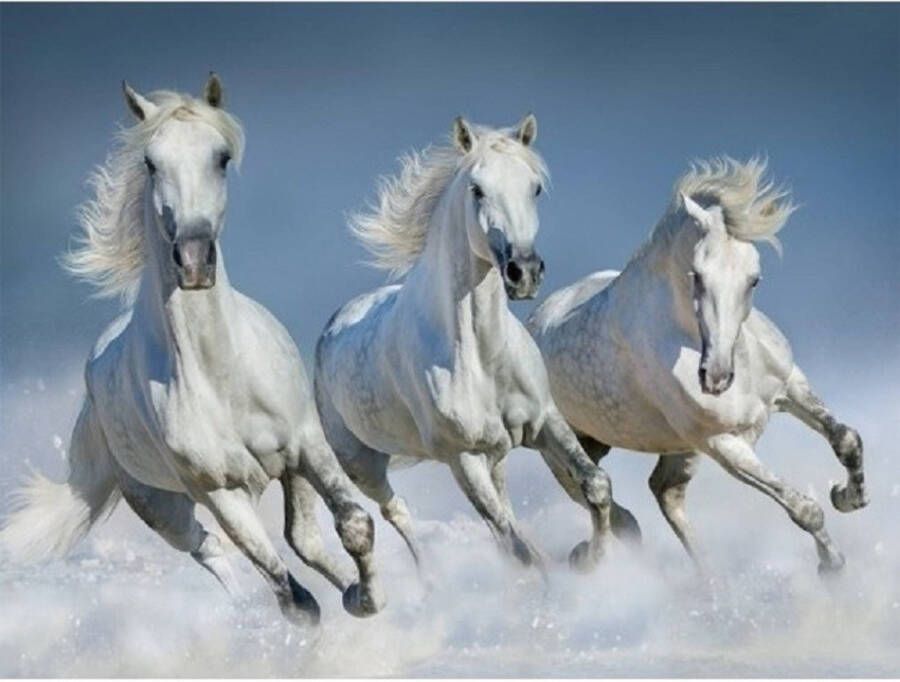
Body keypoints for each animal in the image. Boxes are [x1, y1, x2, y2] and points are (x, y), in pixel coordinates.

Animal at [0, 75, 384, 625]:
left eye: (221, 157)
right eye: (150, 162)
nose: (195, 259)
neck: (221, 373)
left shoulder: (306, 445)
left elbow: (353, 524)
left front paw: (368, 598)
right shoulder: (220, 491)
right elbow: (292, 596)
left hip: (286, 472)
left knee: (303, 538)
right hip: (161, 506)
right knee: (211, 549)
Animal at [315, 115, 625, 577]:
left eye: (535, 187)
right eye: (477, 189)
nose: (523, 272)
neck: (482, 356)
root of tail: (334, 325)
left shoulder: (545, 420)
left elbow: (595, 485)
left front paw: (591, 558)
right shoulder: (461, 457)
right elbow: (511, 543)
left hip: (494, 453)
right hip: (363, 466)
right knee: (397, 512)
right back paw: (429, 580)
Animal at [528, 158, 868, 574]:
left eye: (754, 280)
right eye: (698, 275)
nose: (716, 378)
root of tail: (535, 321)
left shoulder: (790, 386)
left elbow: (847, 439)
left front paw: (848, 496)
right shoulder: (722, 443)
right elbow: (803, 508)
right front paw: (831, 565)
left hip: (667, 447)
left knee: (664, 492)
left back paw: (709, 578)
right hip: (564, 448)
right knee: (601, 497)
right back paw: (594, 557)